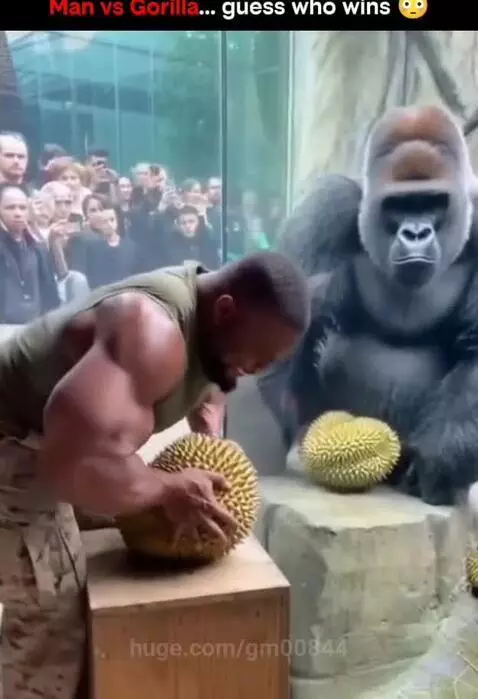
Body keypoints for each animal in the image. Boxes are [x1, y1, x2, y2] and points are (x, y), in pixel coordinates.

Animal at [259, 105, 478, 506]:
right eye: (398, 205)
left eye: (433, 202)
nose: (416, 233)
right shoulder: (328, 203)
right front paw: (332, 292)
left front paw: (436, 467)